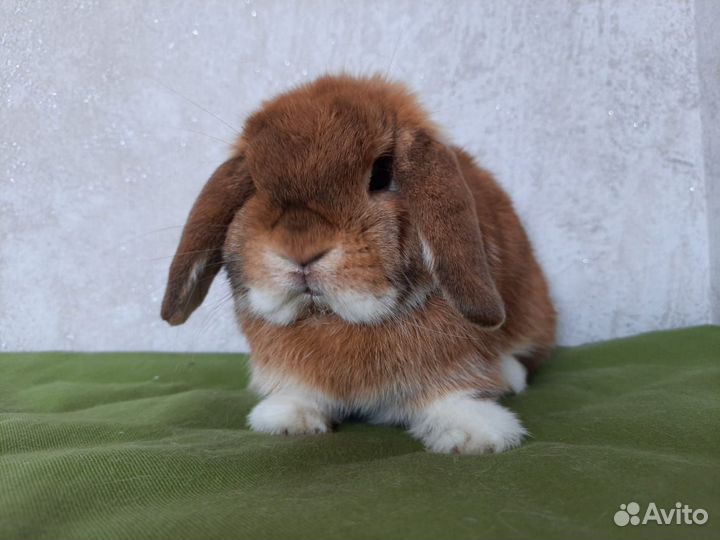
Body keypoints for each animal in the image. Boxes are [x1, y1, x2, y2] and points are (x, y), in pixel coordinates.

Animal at [161, 74, 556, 454]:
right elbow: (300, 394)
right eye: (254, 186)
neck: (331, 318)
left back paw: (510, 376)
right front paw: (289, 419)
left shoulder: (458, 359)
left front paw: (475, 435)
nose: (301, 249)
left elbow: (451, 396)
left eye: (381, 174)